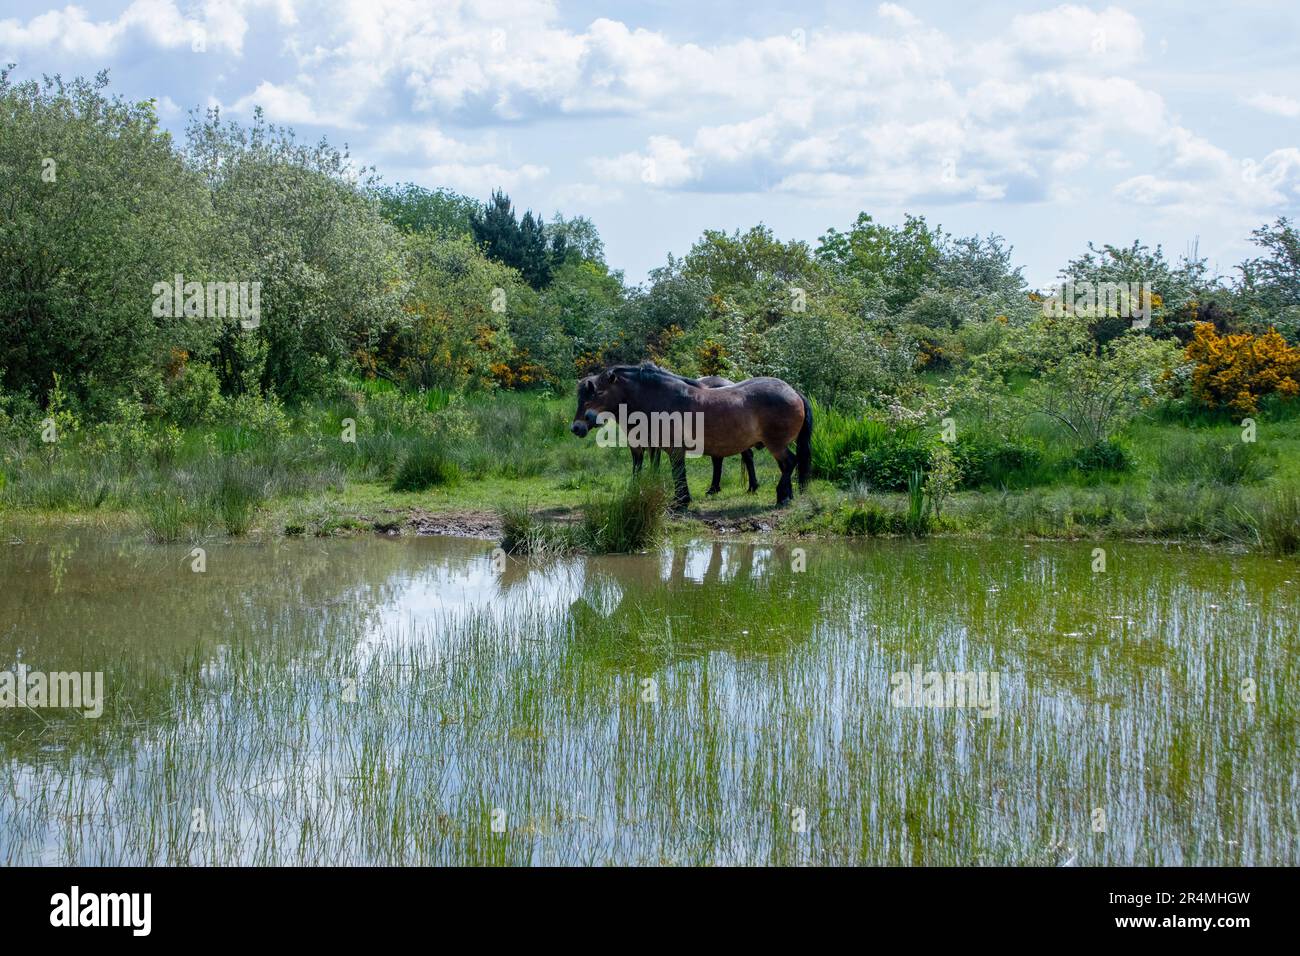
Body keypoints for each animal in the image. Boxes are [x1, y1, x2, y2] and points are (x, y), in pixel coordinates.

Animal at [572, 361, 811, 509]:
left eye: (596, 392)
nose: (576, 427)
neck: (661, 398)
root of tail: (793, 391)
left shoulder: (674, 449)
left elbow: (678, 474)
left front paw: (681, 502)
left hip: (776, 444)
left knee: (789, 463)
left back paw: (781, 496)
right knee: (785, 465)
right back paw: (785, 495)